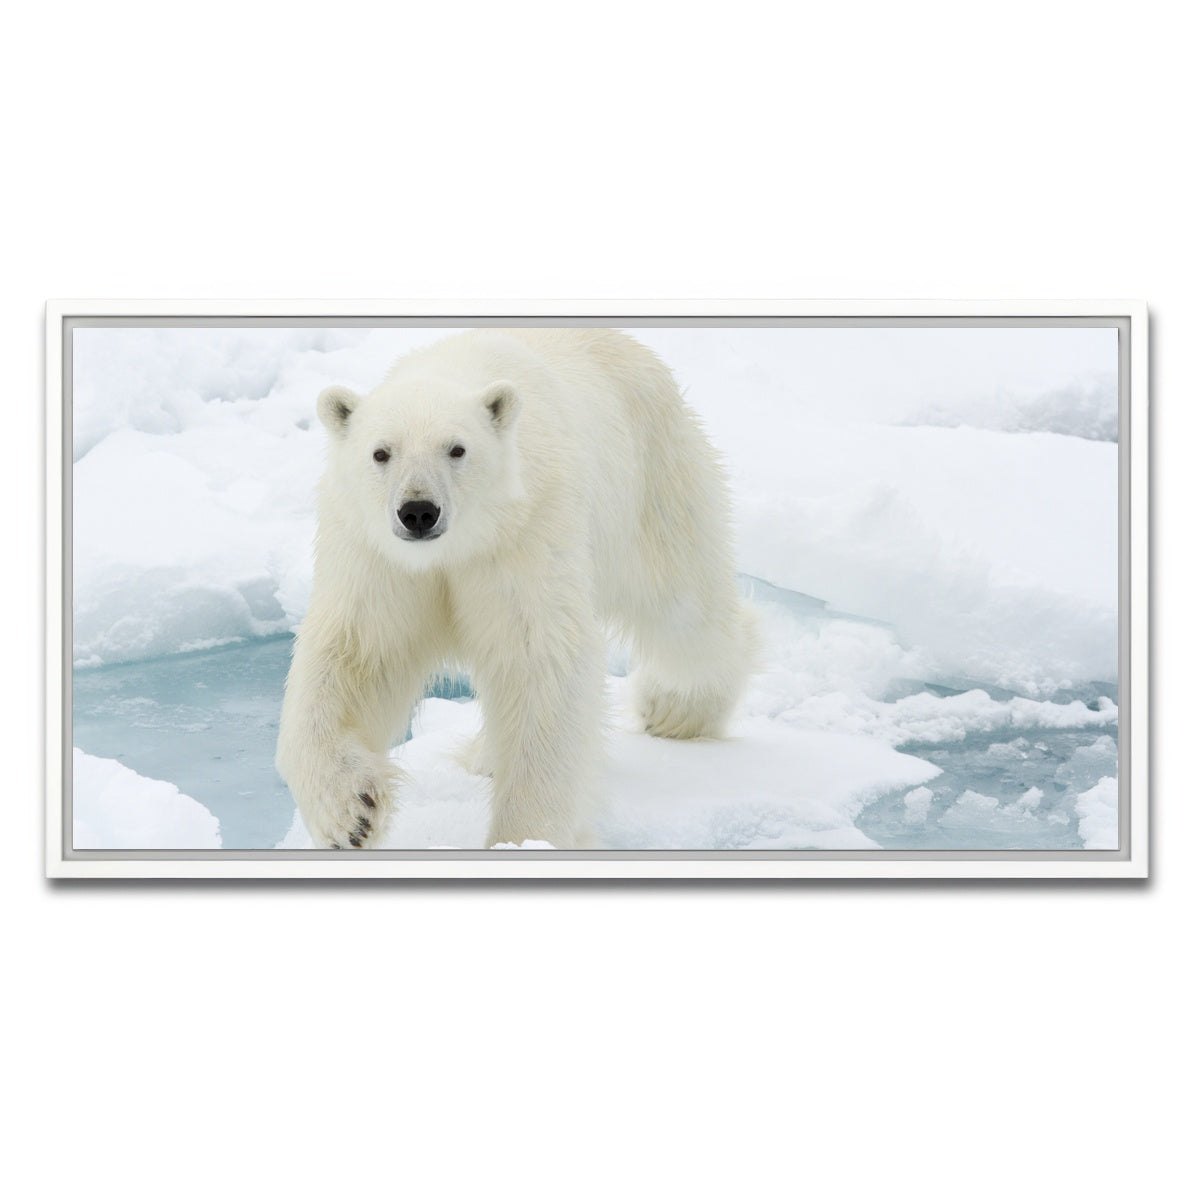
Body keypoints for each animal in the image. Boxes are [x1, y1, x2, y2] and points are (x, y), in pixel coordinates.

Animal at [276, 327, 756, 849]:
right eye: (381, 452)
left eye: (457, 449)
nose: (419, 511)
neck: (456, 548)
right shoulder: (376, 557)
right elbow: (355, 655)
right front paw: (352, 814)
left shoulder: (525, 531)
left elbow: (538, 660)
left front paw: (525, 836)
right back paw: (486, 754)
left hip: (652, 479)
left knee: (683, 605)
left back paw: (673, 708)